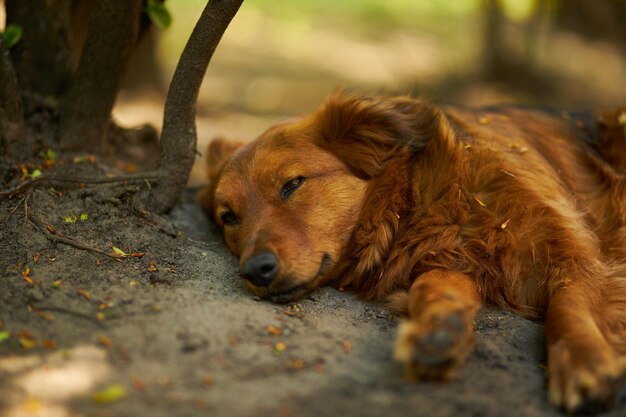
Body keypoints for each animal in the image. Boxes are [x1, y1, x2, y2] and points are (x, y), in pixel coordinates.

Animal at [199, 92, 624, 412]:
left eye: (292, 184)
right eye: (229, 217)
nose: (255, 270)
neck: (417, 202)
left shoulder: (583, 258)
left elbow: (566, 309)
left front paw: (584, 360)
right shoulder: (451, 261)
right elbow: (431, 286)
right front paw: (439, 328)